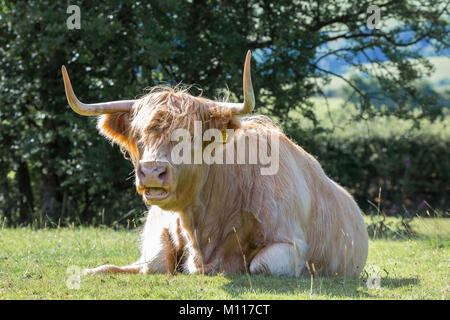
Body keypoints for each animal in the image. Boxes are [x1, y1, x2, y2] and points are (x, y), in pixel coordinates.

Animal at [62, 51, 366, 276]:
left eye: (191, 136)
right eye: (138, 135)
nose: (151, 172)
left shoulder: (290, 243)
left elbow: (260, 265)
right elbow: (156, 263)